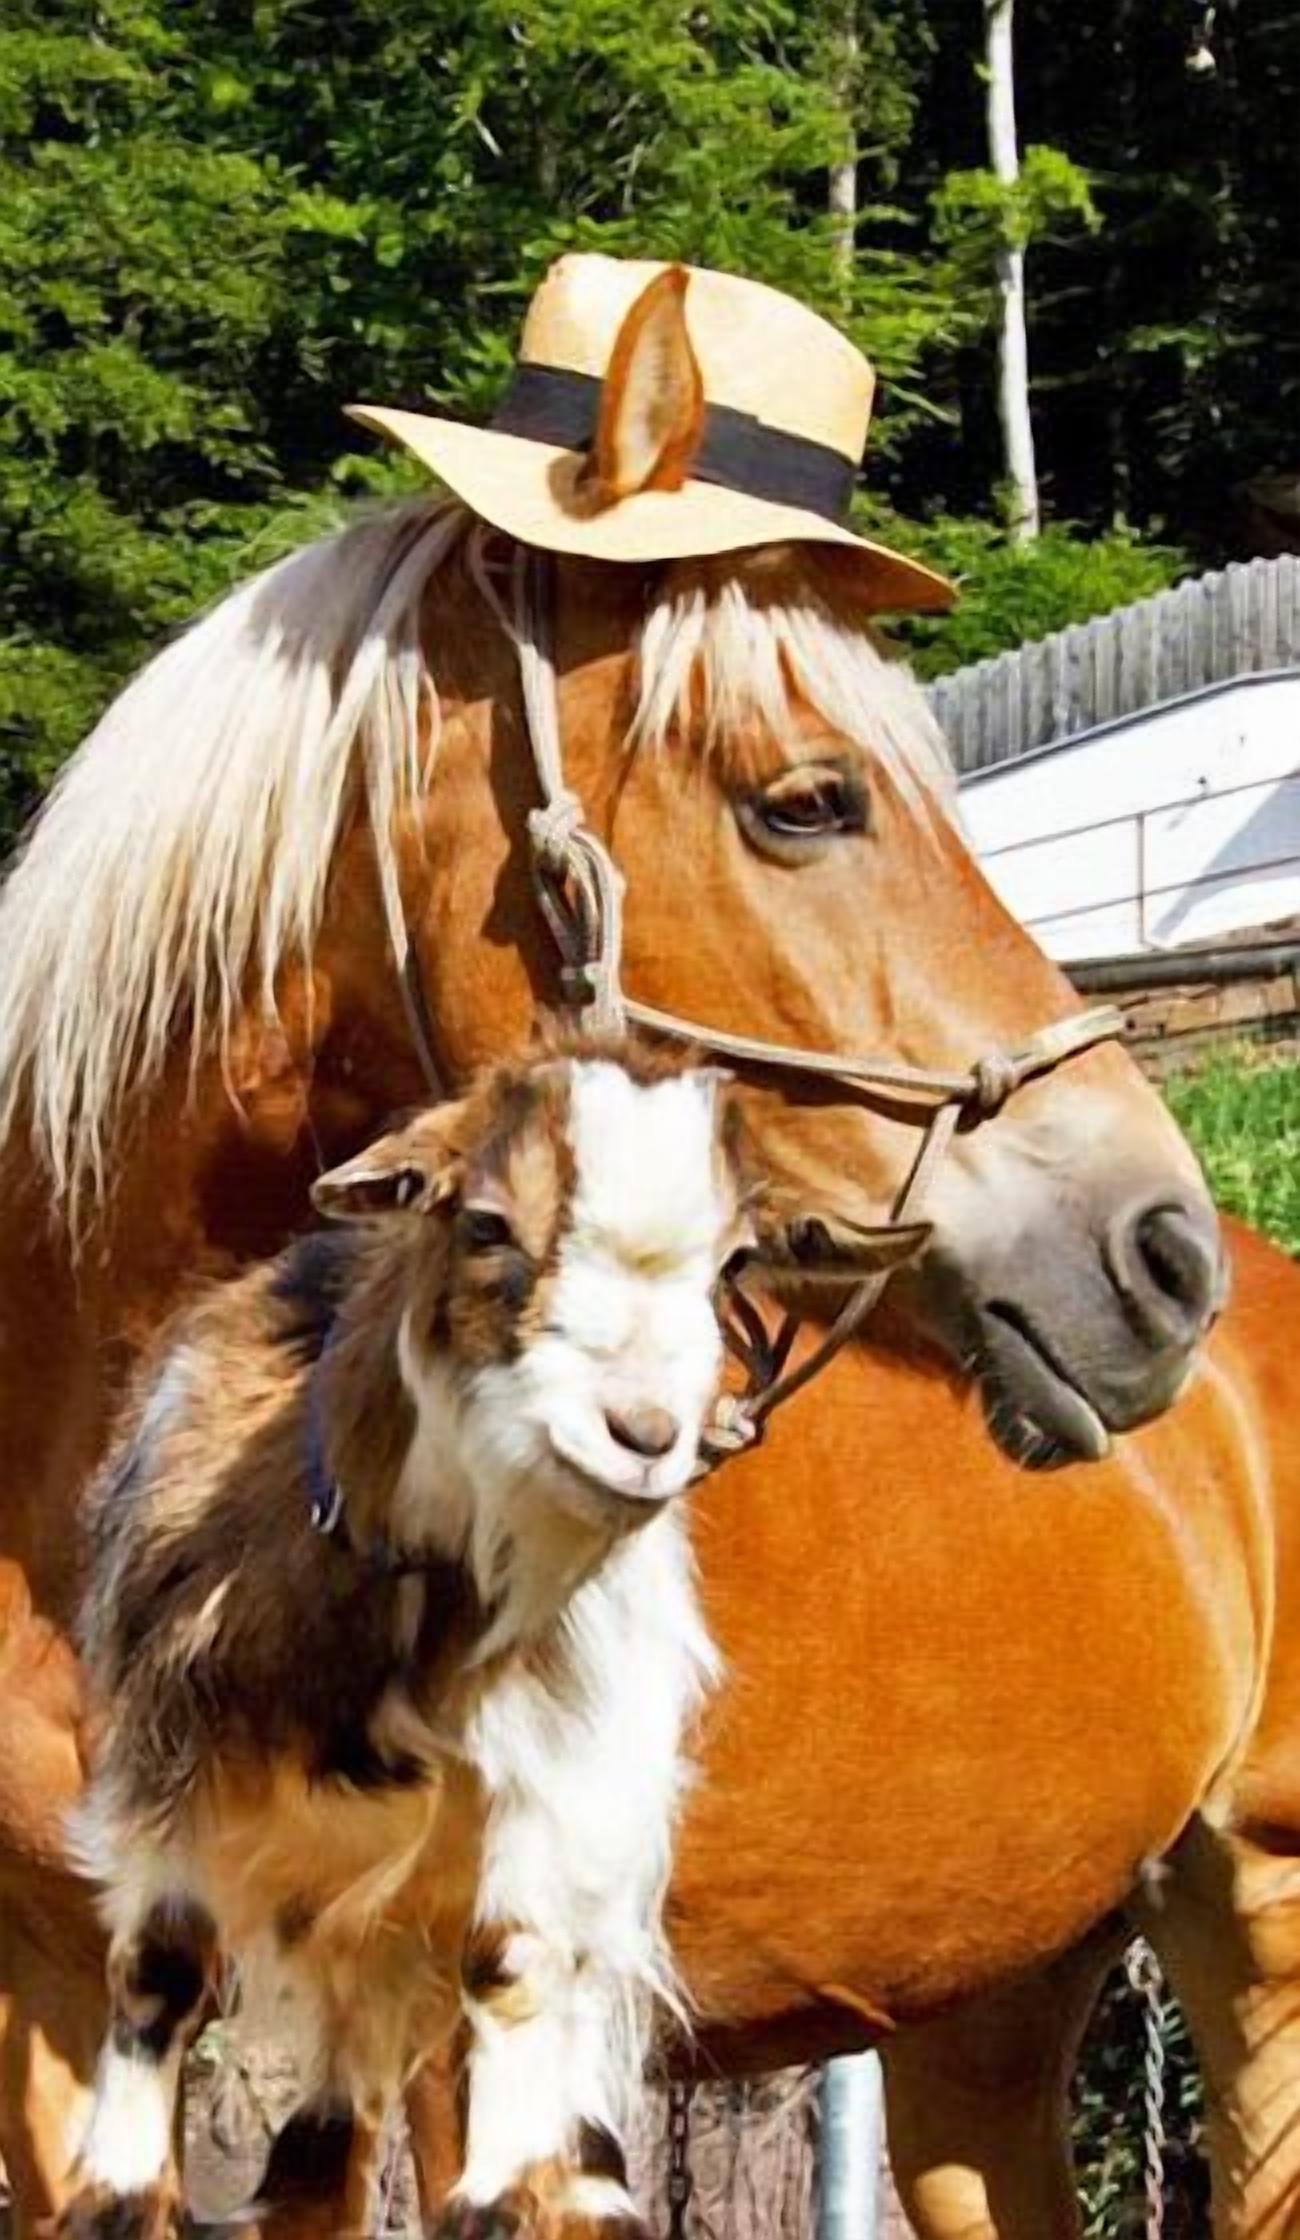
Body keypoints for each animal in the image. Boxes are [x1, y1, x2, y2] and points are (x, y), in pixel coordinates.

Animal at [65, 1037, 917, 2240]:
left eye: (735, 1262)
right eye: (484, 1224)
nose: (642, 1435)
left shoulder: (551, 1791)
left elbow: (511, 1988)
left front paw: (502, 2185)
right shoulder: (163, 1758)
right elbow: (158, 1970)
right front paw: (118, 2186)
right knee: (322, 2155)